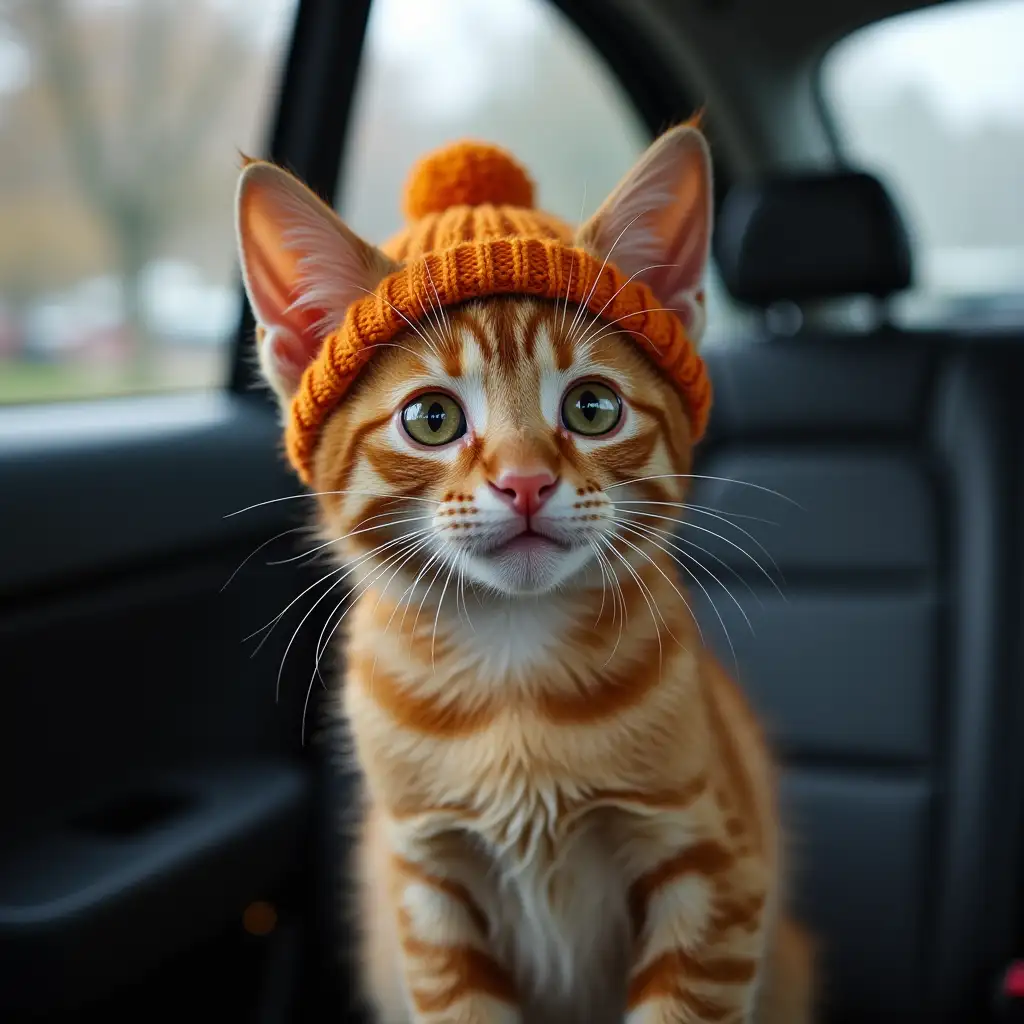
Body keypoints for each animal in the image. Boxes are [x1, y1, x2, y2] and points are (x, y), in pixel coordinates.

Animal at [235, 125, 811, 1024]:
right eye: (432, 419)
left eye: (592, 408)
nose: (526, 481)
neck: (513, 675)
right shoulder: (427, 890)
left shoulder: (714, 870)